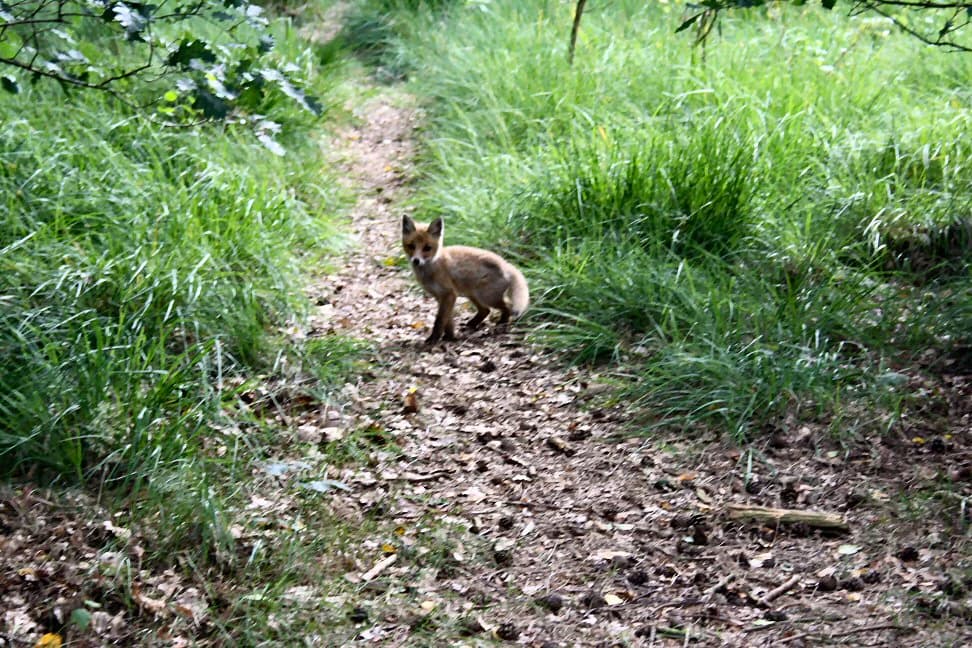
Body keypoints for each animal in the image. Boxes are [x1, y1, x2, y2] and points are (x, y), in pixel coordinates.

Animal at [401, 215, 529, 344]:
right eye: (411, 246)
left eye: (427, 248)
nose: (416, 261)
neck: (433, 265)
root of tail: (506, 264)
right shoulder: (441, 297)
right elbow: (448, 321)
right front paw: (450, 337)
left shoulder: (449, 294)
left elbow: (440, 320)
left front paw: (434, 338)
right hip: (473, 295)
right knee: (486, 310)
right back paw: (472, 324)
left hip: (487, 297)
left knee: (508, 306)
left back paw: (502, 323)